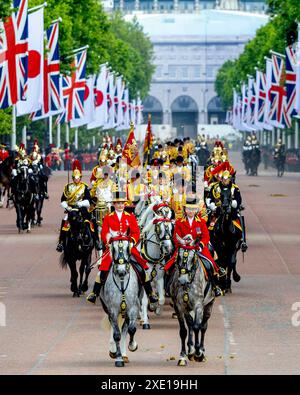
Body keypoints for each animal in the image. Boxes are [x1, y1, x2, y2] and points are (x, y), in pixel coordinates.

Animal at [99, 232, 142, 368]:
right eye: (113, 248)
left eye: (128, 248)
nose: (121, 271)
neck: (122, 282)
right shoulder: (112, 309)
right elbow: (116, 334)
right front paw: (118, 358)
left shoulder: (133, 308)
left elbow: (131, 329)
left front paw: (132, 346)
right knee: (116, 329)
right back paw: (114, 351)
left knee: (125, 329)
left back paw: (124, 354)